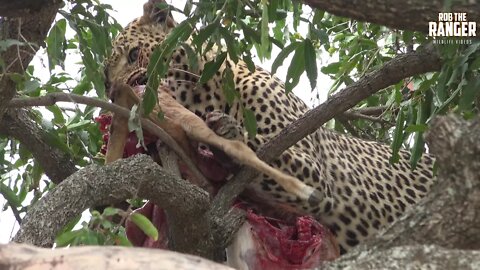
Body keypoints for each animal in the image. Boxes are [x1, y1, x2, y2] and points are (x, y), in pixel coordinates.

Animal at [104, 0, 436, 254]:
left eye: (133, 54)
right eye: (106, 81)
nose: (114, 92)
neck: (206, 94)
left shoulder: (316, 177)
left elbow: (261, 154)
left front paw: (226, 134)